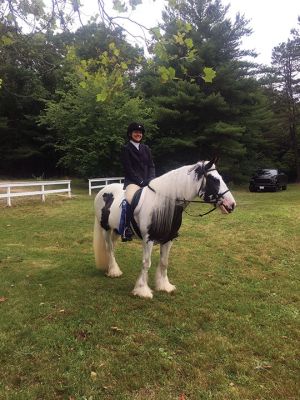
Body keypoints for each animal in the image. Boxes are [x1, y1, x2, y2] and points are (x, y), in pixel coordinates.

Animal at [92, 159, 236, 296]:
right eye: (214, 180)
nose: (231, 204)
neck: (162, 204)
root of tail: (103, 189)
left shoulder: (169, 239)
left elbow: (164, 262)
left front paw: (164, 286)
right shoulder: (148, 239)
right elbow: (146, 263)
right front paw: (142, 290)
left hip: (116, 230)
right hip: (105, 229)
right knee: (109, 248)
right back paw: (114, 272)